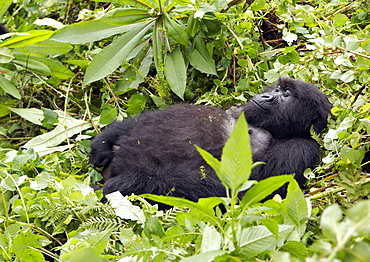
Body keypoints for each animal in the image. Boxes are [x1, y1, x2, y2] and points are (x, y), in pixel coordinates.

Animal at [91, 78, 334, 205]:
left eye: (286, 95)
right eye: (277, 88)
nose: (266, 96)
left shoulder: (302, 149)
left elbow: (239, 192)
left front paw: (128, 184)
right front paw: (103, 143)